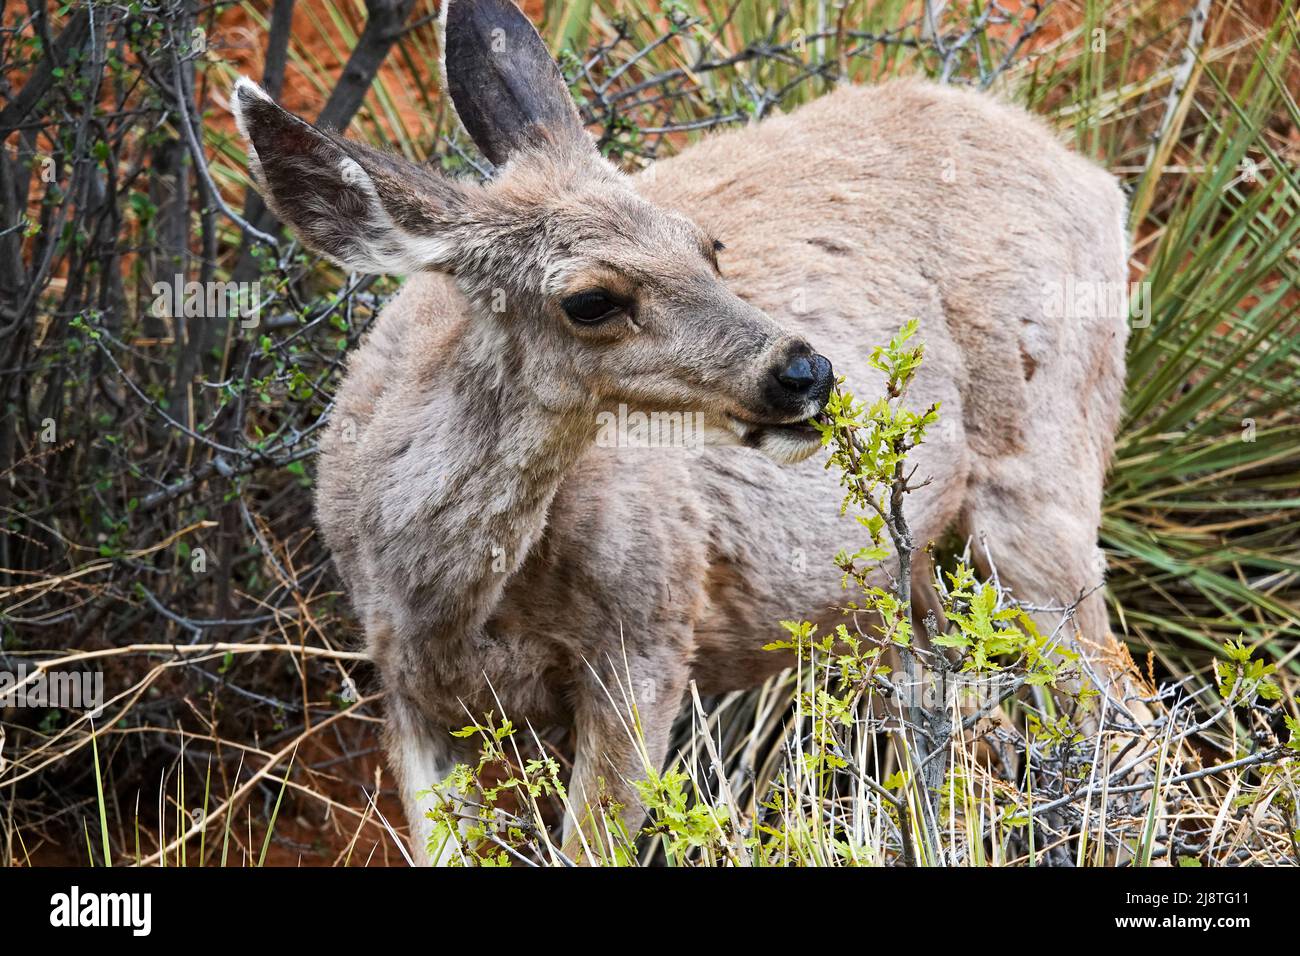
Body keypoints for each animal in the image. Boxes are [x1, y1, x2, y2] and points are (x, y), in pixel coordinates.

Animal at [231, 0, 1155, 865]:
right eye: (591, 299)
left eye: (706, 245)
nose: (805, 371)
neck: (447, 592)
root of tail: (1092, 175)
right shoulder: (408, 690)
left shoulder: (649, 637)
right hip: (902, 573)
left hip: (1039, 475)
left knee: (1126, 715)